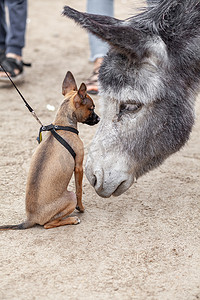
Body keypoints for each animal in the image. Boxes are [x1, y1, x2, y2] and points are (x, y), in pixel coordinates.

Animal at [0, 72, 100, 230]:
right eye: (92, 108)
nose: (99, 118)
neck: (62, 126)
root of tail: (30, 218)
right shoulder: (78, 167)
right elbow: (79, 190)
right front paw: (81, 208)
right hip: (69, 196)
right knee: (48, 224)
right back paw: (72, 219)